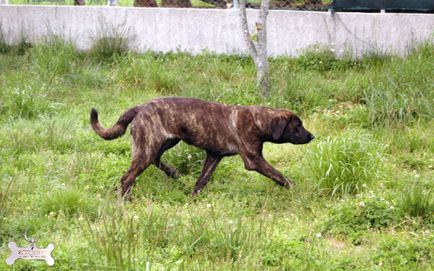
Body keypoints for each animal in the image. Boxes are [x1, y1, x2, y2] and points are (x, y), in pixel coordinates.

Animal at [90, 98, 316, 198]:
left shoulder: (213, 156)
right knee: (127, 178)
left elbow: (201, 181)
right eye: (297, 126)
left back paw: (174, 174)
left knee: (156, 160)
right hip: (147, 147)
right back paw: (125, 200)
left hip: (164, 143)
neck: (258, 120)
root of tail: (139, 107)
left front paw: (192, 198)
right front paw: (295, 189)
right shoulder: (254, 160)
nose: (312, 136)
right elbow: (279, 175)